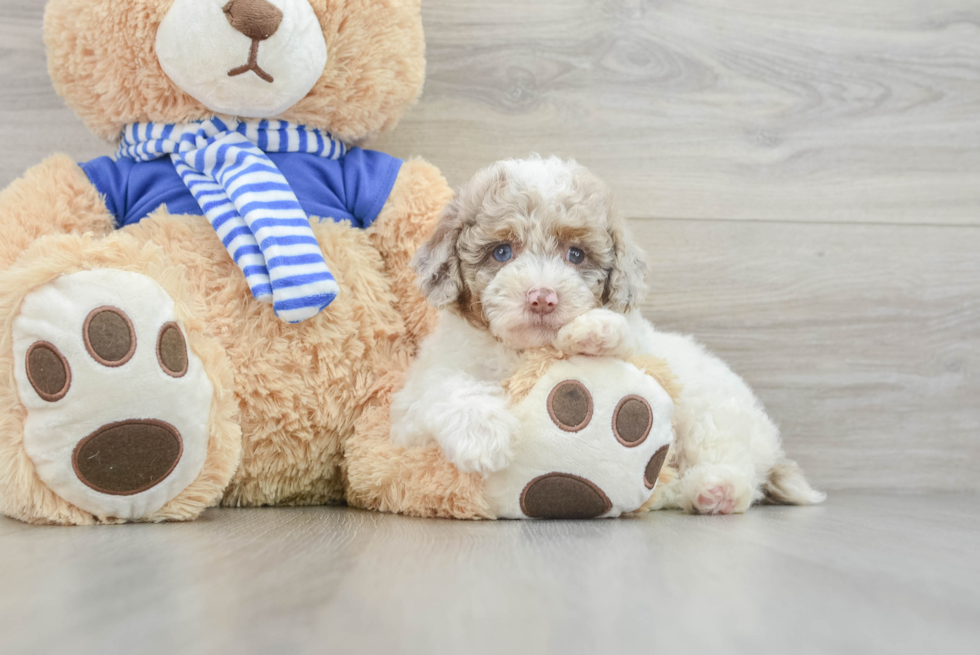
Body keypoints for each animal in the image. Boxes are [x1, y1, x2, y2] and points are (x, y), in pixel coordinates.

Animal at [392, 156, 828, 516]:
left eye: (576, 255)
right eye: (501, 252)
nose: (542, 298)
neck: (525, 352)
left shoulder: (646, 350)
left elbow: (629, 341)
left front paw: (595, 328)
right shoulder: (411, 407)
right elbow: (443, 387)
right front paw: (482, 435)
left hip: (713, 414)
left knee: (736, 467)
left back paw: (717, 489)